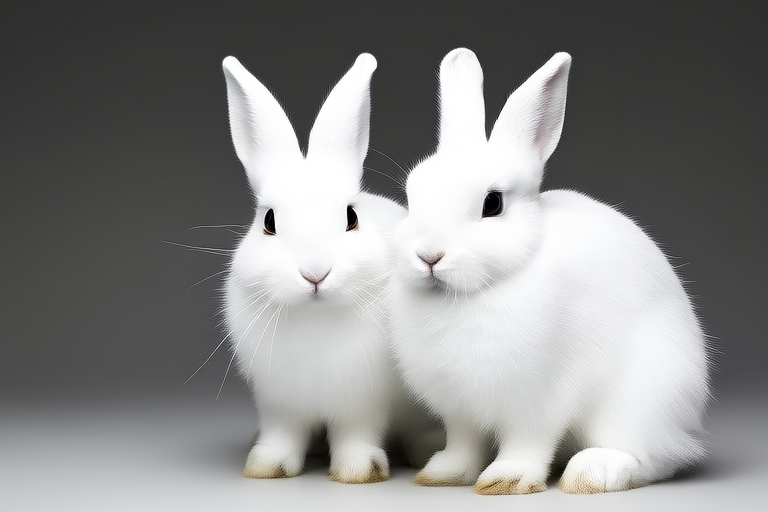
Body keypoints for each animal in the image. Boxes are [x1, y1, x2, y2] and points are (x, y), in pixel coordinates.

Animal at [221, 53, 415, 484]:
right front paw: (267, 467)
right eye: (269, 222)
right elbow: (282, 435)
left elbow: (357, 434)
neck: (316, 318)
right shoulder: (278, 402)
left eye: (351, 217)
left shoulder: (364, 401)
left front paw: (359, 472)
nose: (315, 273)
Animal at [389, 48, 710, 494]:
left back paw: (592, 472)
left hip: (640, 400)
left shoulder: (540, 399)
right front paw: (443, 474)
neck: (475, 292)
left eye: (492, 203)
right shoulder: (460, 407)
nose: (428, 256)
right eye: (411, 194)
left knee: (652, 460)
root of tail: (687, 425)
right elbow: (464, 443)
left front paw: (506, 480)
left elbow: (528, 441)